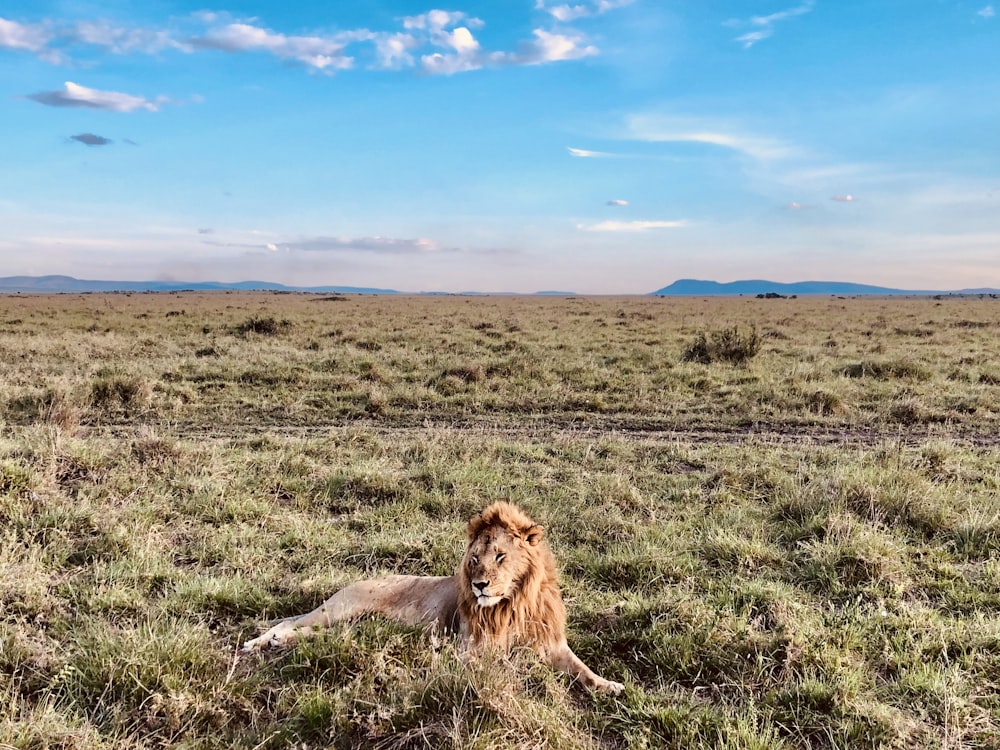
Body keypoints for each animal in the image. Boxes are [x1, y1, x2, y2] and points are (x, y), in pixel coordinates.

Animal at [240, 502, 624, 696]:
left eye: (500, 556)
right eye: (474, 559)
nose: (479, 585)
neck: (512, 605)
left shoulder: (552, 644)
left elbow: (583, 670)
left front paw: (611, 686)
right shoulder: (470, 650)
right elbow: (503, 666)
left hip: (357, 626)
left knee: (313, 633)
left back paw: (275, 643)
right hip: (339, 609)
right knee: (290, 621)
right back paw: (260, 642)